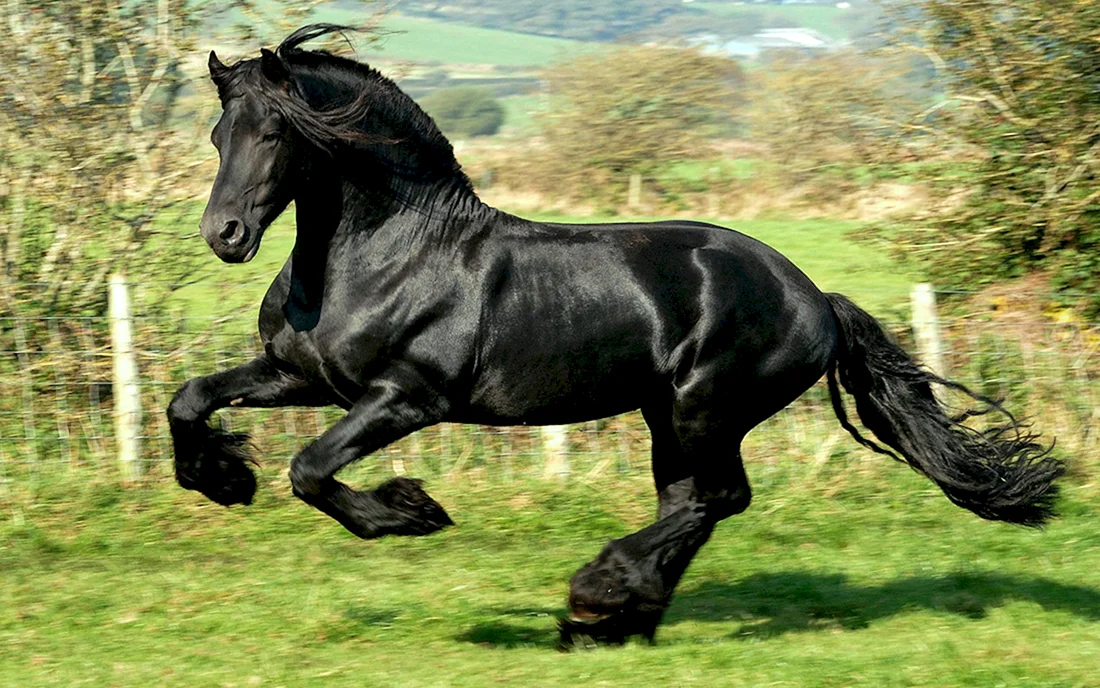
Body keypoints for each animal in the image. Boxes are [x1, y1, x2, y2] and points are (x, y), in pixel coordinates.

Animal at [167, 24, 1065, 647]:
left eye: (276, 134)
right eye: (216, 135)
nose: (225, 235)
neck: (388, 251)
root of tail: (814, 296)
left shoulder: (406, 399)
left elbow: (312, 470)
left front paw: (412, 513)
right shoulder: (303, 376)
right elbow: (190, 400)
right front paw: (222, 479)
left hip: (707, 406)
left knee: (714, 498)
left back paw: (598, 595)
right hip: (667, 414)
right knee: (692, 503)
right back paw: (617, 620)